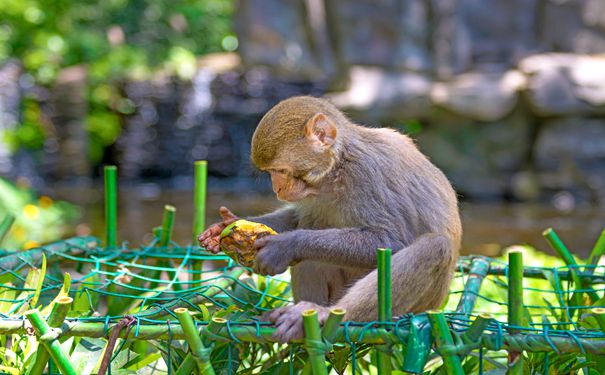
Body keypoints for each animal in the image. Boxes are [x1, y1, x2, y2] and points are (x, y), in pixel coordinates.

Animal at [197, 95, 458, 342]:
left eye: (280, 171)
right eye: (270, 173)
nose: (276, 189)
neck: (336, 170)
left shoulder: (366, 174)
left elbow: (391, 240)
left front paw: (286, 245)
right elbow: (297, 218)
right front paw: (225, 226)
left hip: (422, 305)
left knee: (434, 247)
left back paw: (327, 314)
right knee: (312, 246)